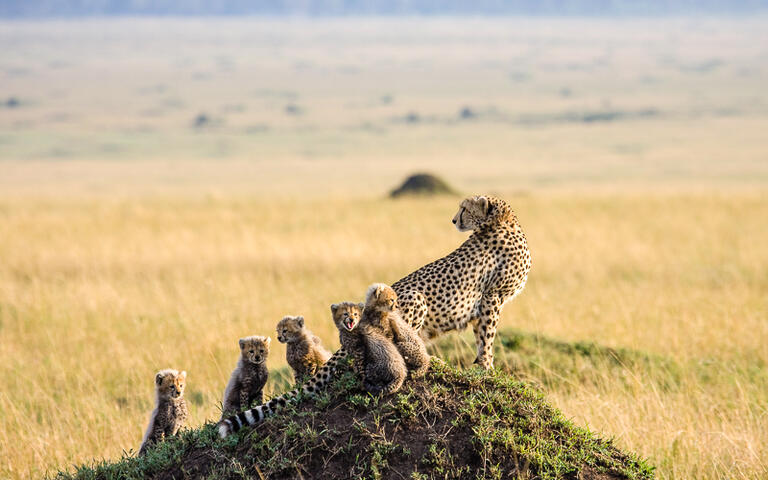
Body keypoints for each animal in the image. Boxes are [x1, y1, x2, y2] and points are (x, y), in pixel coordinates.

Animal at [216, 193, 528, 436]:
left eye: (464, 208)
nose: (454, 220)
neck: (505, 219)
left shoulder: (488, 301)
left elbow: (482, 337)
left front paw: (482, 366)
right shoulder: (492, 299)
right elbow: (487, 338)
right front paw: (487, 368)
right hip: (415, 298)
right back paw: (428, 362)